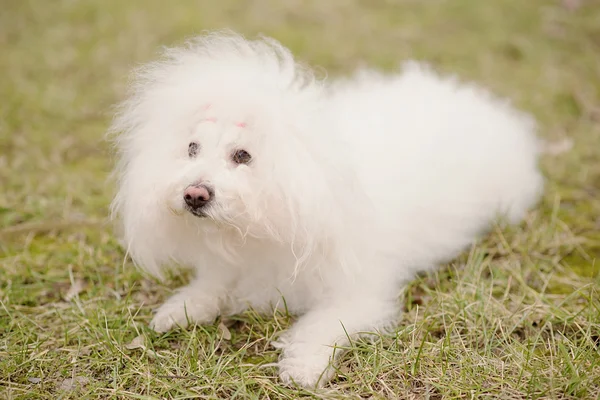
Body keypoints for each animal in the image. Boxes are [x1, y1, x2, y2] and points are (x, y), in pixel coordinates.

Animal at [109, 31, 544, 388]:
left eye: (242, 155)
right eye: (192, 149)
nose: (194, 194)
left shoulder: (358, 295)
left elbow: (318, 326)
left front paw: (302, 367)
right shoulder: (234, 266)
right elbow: (211, 285)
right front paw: (178, 309)